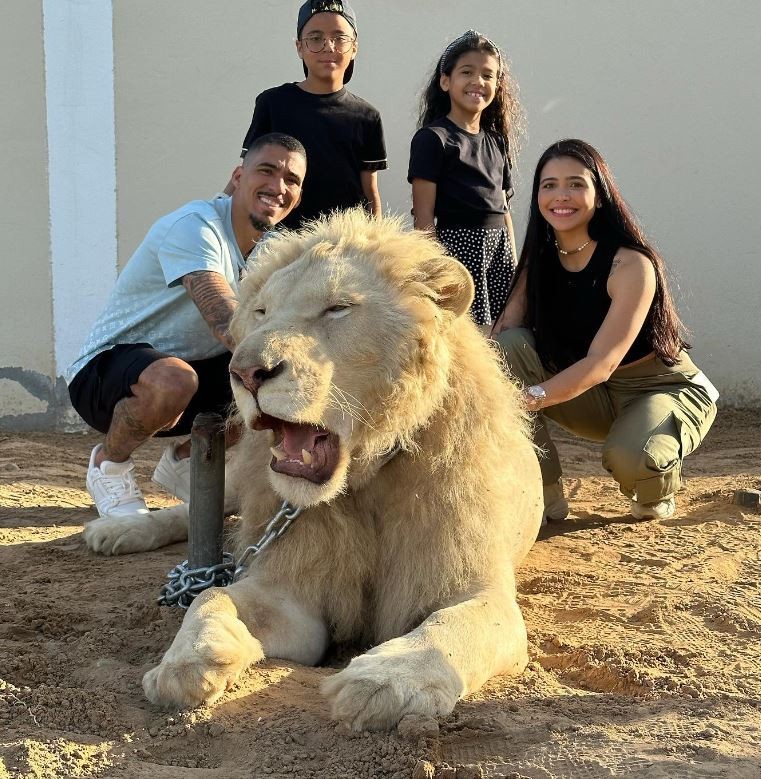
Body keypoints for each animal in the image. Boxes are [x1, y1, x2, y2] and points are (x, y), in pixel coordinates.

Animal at [83, 212, 544, 732]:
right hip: (239, 487)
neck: (366, 480)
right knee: (194, 512)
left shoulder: (479, 588)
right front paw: (183, 664)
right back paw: (121, 528)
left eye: (337, 308)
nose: (245, 372)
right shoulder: (292, 593)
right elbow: (212, 598)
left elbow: (448, 629)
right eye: (261, 312)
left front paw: (383, 681)